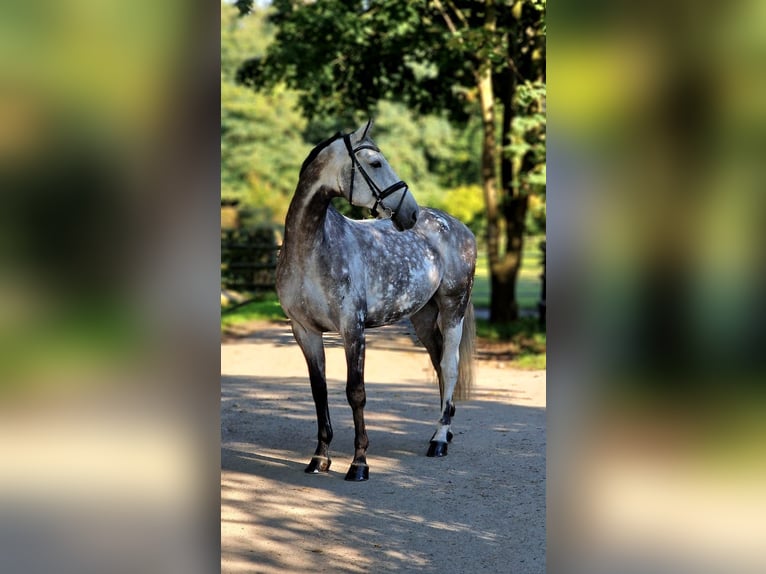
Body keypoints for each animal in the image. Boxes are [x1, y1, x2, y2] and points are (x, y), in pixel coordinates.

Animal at [280, 120, 476, 482]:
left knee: (450, 366)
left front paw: (359, 463)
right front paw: (320, 458)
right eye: (375, 163)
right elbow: (319, 391)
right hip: (423, 318)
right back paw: (445, 428)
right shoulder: (304, 331)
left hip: (453, 308)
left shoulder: (352, 329)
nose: (410, 212)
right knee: (438, 364)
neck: (311, 250)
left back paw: (439, 440)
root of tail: (457, 225)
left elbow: (355, 393)